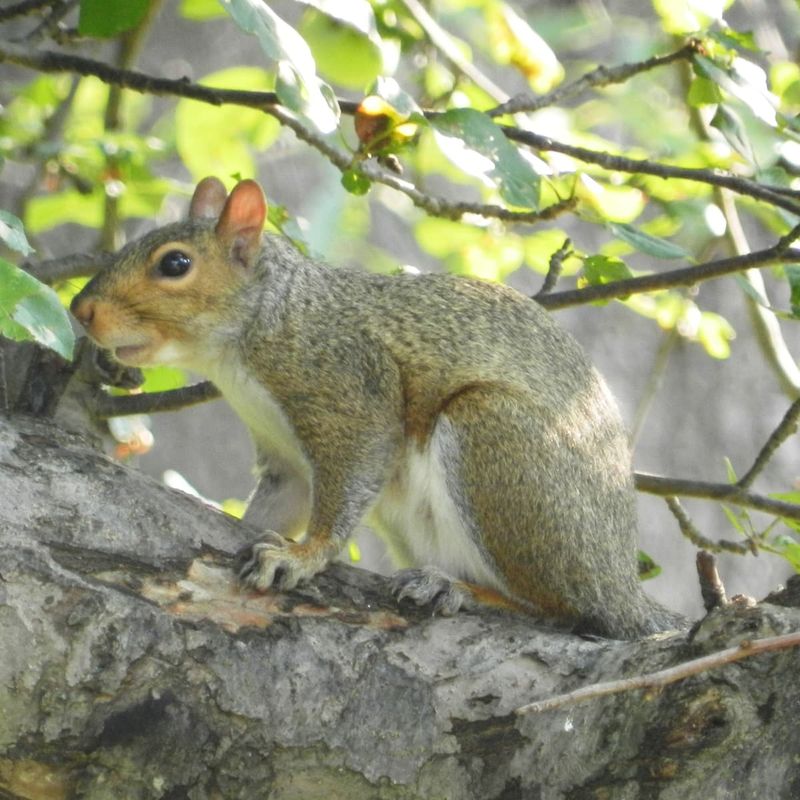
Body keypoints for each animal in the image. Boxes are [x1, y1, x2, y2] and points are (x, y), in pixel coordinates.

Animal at [70, 175, 680, 636]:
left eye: (174, 264)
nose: (80, 310)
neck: (251, 337)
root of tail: (623, 585)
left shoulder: (350, 390)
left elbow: (352, 474)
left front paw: (302, 556)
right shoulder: (285, 458)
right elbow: (281, 501)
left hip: (498, 444)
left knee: (566, 608)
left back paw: (458, 588)